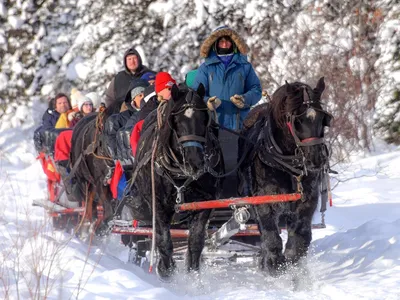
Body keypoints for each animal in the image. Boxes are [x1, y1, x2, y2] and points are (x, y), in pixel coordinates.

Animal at [127, 84, 223, 278]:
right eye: (177, 121)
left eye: (204, 120)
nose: (195, 162)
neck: (181, 173)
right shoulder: (159, 205)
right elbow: (163, 241)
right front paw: (166, 270)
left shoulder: (204, 203)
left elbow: (195, 241)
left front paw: (193, 274)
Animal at [239, 77, 332, 276]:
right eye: (297, 120)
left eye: (323, 118)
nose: (316, 158)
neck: (288, 166)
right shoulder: (264, 202)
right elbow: (271, 239)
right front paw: (274, 265)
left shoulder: (307, 201)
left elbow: (300, 239)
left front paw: (292, 264)